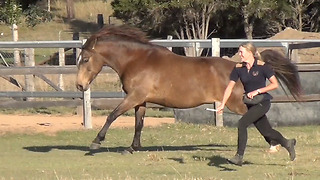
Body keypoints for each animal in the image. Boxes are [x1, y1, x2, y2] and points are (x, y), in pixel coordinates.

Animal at [76, 24, 302, 153]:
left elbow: (112, 115)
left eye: (85, 59)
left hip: (237, 103)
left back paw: (275, 144)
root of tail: (241, 66)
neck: (138, 60)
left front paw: (96, 142)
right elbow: (138, 123)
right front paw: (133, 147)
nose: (80, 85)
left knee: (258, 117)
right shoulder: (140, 100)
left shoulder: (134, 96)